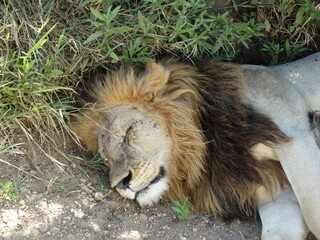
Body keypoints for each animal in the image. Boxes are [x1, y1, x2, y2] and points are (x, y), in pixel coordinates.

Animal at [70, 53, 320, 240]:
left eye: (128, 133)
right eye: (106, 158)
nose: (120, 185)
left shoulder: (294, 132)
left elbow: (313, 213)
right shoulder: (273, 191)